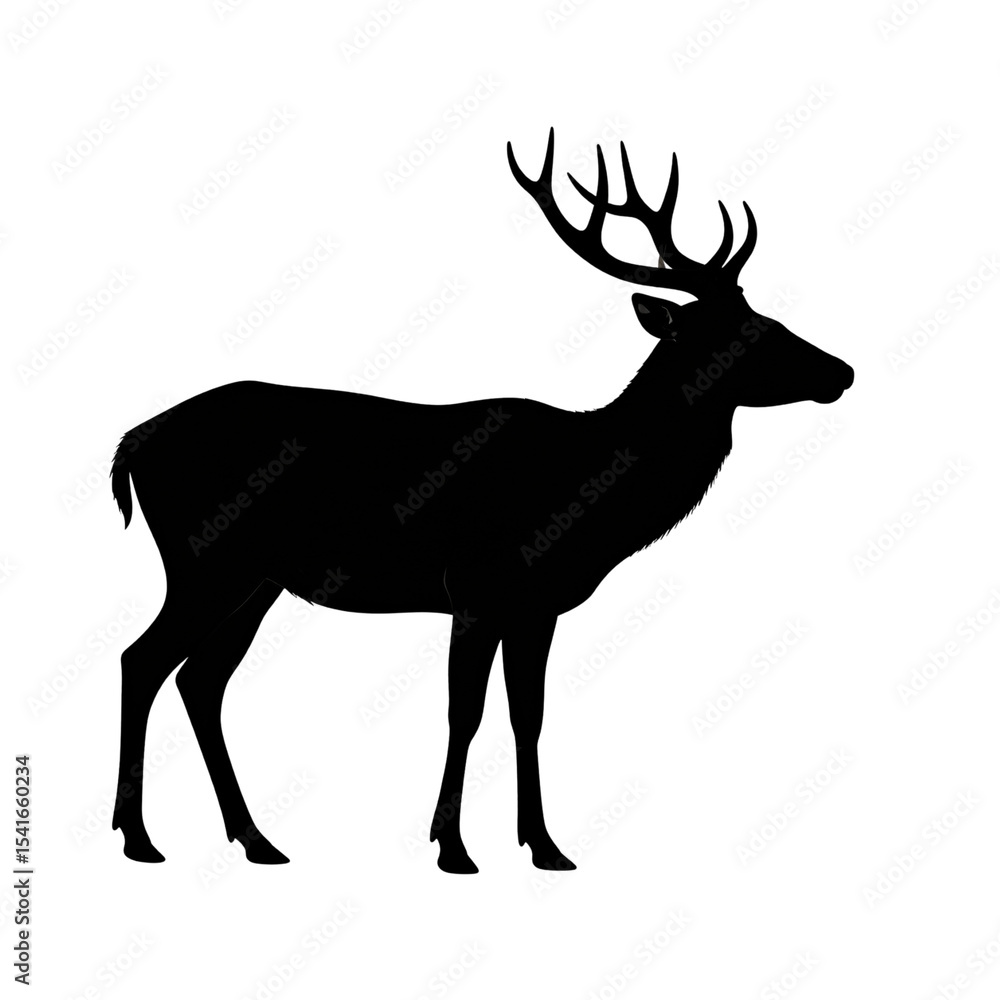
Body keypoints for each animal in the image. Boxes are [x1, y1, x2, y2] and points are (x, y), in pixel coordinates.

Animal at [108, 129, 853, 874]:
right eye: (739, 332)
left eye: (764, 315)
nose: (842, 370)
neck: (586, 494)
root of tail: (131, 443)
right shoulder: (473, 584)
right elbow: (463, 712)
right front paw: (452, 847)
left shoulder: (537, 604)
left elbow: (529, 713)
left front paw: (546, 846)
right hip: (206, 560)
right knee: (142, 660)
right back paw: (139, 838)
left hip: (255, 580)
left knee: (200, 681)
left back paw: (256, 840)